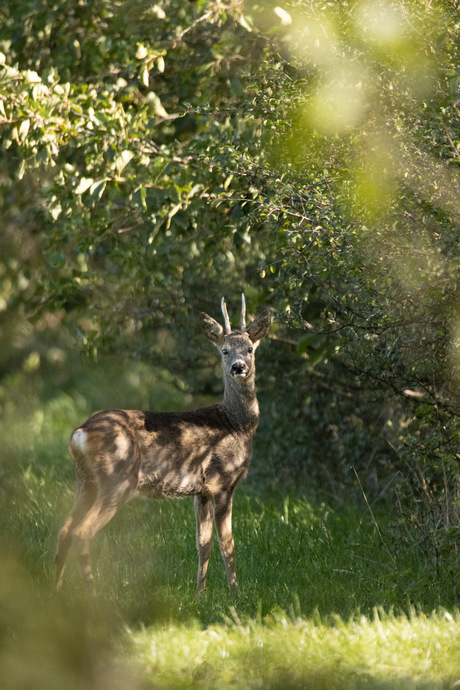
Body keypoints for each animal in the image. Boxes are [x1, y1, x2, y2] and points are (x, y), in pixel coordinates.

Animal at [54, 294, 272, 592]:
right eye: (225, 351)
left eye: (250, 348)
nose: (238, 367)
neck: (236, 423)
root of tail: (81, 432)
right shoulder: (222, 483)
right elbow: (228, 544)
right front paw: (235, 592)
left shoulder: (202, 491)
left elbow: (203, 545)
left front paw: (200, 593)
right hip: (117, 479)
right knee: (82, 532)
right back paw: (93, 594)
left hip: (85, 481)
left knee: (64, 530)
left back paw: (55, 591)